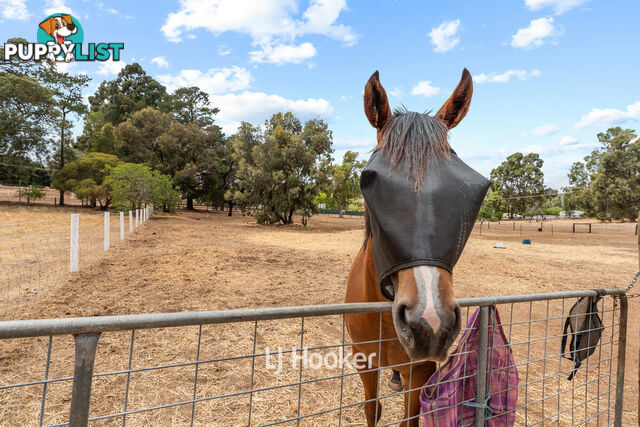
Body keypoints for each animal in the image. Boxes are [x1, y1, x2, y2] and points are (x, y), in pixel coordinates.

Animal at [344, 68, 480, 426]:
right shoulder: (364, 361)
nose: (430, 323)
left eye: (465, 190)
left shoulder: (421, 370)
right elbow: (372, 409)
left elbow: (411, 417)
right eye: (371, 184)